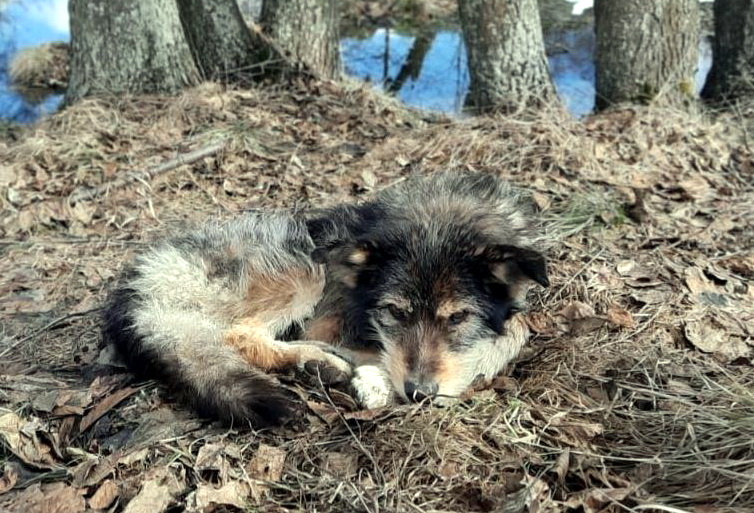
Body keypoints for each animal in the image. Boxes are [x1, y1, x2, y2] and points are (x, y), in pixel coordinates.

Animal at [103, 170, 548, 426]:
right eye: (394, 312)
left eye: (457, 318)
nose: (418, 394)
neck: (441, 215)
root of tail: (140, 278)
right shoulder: (331, 318)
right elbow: (515, 331)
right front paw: (378, 380)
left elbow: (517, 327)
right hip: (305, 268)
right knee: (238, 335)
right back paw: (322, 364)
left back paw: (315, 365)